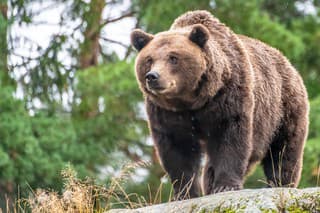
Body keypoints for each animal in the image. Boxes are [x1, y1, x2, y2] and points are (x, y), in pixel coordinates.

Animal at [129, 10, 308, 200]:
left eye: (173, 58)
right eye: (149, 59)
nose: (153, 76)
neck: (192, 101)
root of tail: (287, 62)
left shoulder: (229, 97)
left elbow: (231, 139)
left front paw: (225, 186)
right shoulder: (166, 113)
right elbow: (177, 150)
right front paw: (185, 193)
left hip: (283, 109)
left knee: (284, 150)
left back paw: (281, 183)